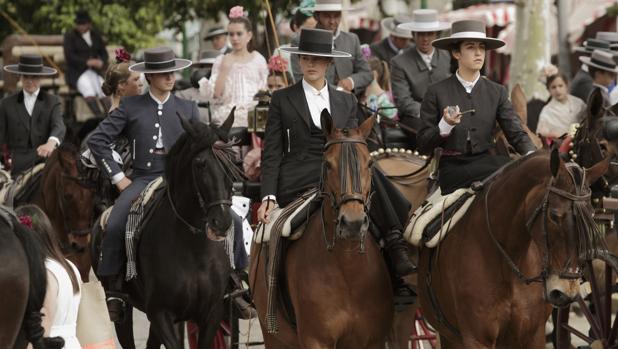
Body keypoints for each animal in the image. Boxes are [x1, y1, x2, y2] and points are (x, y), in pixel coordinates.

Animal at [91, 110, 238, 346]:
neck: (194, 247)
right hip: (124, 312)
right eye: (200, 164)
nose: (222, 221)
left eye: (232, 161)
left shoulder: (211, 314)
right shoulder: (161, 313)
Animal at [248, 113, 392, 346]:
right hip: (272, 335)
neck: (347, 266)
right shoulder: (315, 339)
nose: (352, 223)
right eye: (327, 164)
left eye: (370, 163)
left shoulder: (373, 340)